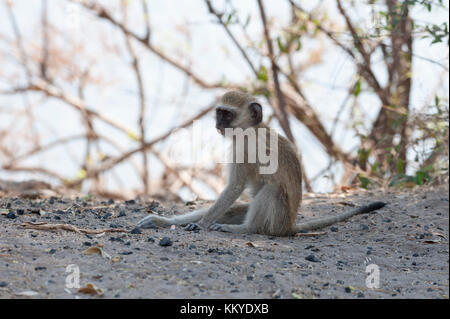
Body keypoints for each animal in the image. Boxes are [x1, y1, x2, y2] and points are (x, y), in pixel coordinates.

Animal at [136, 91, 384, 236]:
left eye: (227, 115)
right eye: (219, 112)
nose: (217, 125)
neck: (251, 129)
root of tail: (289, 225)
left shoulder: (244, 149)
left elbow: (234, 187)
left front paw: (201, 224)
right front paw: (164, 220)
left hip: (277, 219)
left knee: (272, 191)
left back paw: (244, 228)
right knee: (238, 207)